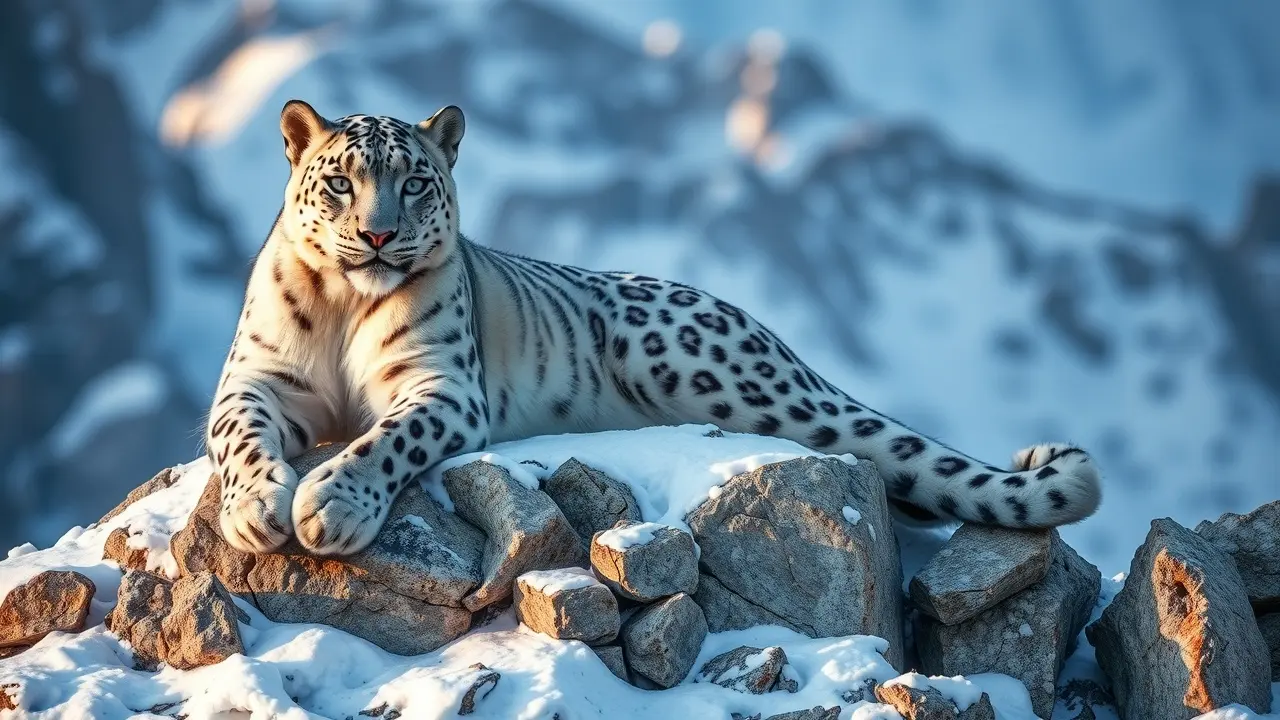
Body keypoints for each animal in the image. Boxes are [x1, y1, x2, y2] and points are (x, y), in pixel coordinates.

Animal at [205, 100, 1102, 556]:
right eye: (340, 182)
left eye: (415, 182)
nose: (379, 235)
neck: (345, 307)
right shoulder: (257, 378)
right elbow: (239, 437)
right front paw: (256, 509)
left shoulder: (442, 388)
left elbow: (386, 439)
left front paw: (332, 505)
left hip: (704, 366)